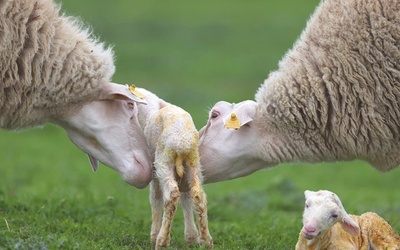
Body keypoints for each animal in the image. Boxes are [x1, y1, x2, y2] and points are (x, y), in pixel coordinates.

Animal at [132, 86, 214, 248]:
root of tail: (183, 143)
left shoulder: (154, 171)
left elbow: (155, 198)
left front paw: (153, 235)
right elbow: (186, 199)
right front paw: (191, 237)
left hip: (164, 162)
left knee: (171, 195)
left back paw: (162, 241)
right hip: (193, 164)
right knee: (197, 196)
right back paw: (206, 240)